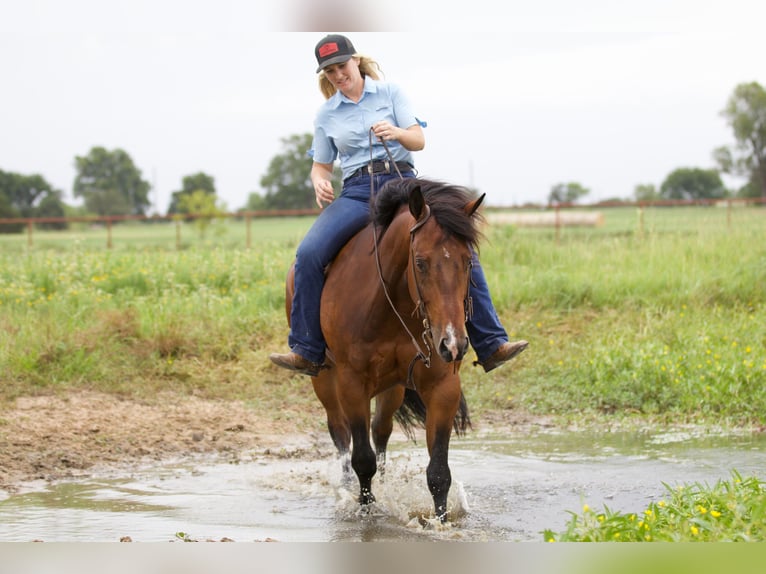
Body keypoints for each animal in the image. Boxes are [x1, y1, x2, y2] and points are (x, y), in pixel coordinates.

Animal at [282, 179, 486, 520]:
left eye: (468, 262)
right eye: (420, 262)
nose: (453, 343)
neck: (391, 305)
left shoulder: (443, 385)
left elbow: (438, 472)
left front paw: (441, 522)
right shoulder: (352, 384)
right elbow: (362, 459)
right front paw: (366, 511)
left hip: (393, 387)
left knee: (381, 430)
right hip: (324, 379)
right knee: (340, 433)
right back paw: (346, 487)